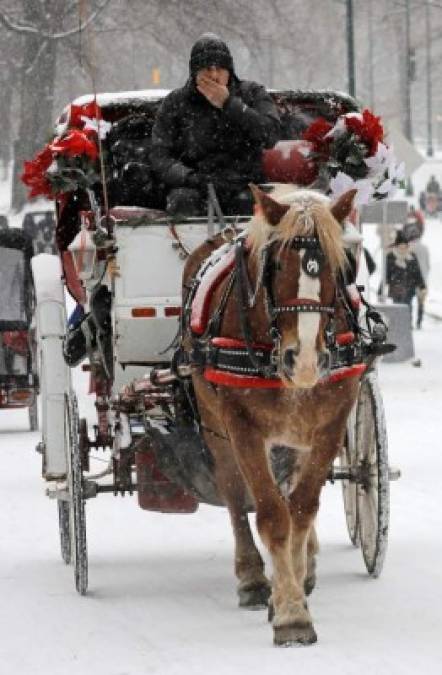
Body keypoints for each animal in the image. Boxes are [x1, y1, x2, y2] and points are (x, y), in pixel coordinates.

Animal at [180, 182, 362, 648]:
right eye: (276, 263)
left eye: (340, 264)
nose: (306, 362)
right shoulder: (241, 426)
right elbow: (271, 515)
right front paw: (290, 614)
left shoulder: (331, 423)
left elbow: (301, 508)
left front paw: (294, 592)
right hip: (216, 425)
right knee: (232, 494)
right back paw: (251, 578)